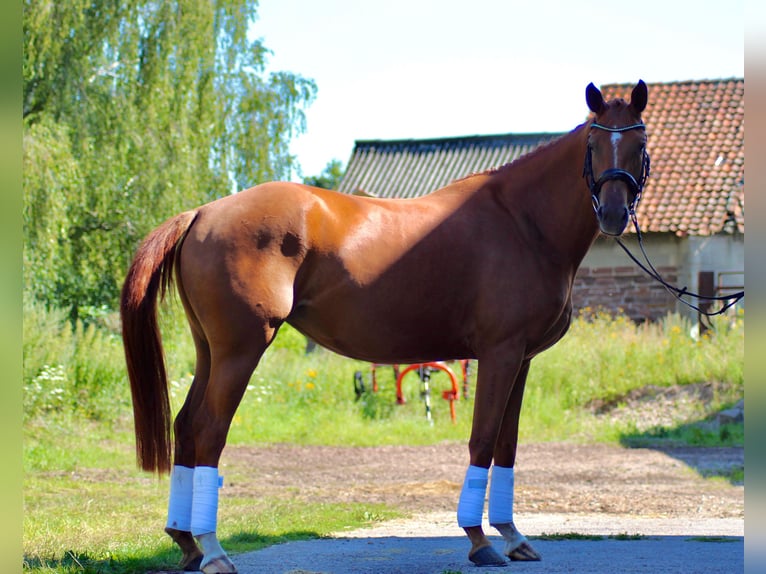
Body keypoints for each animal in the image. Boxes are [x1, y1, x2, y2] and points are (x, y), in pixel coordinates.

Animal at [123, 80, 652, 572]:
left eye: (639, 142)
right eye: (593, 143)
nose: (612, 214)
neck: (522, 221)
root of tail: (202, 213)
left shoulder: (521, 359)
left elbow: (507, 443)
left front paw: (513, 536)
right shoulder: (499, 353)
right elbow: (482, 439)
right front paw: (479, 541)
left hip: (209, 351)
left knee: (186, 426)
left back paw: (187, 542)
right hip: (241, 350)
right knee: (209, 431)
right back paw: (213, 550)